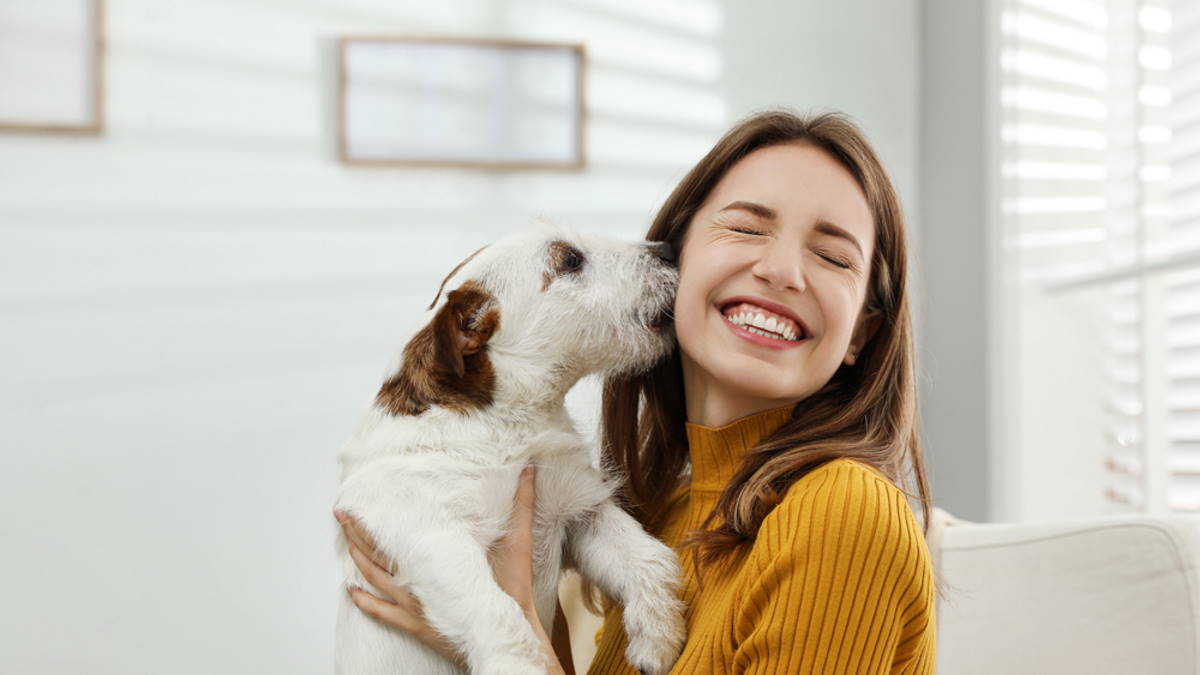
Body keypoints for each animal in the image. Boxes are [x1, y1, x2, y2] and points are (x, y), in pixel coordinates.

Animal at [333, 222, 691, 672]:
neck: (509, 425)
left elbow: (650, 560)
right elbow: (499, 613)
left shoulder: (580, 513)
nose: (669, 250)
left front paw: (657, 639)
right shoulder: (431, 532)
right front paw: (520, 664)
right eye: (570, 259)